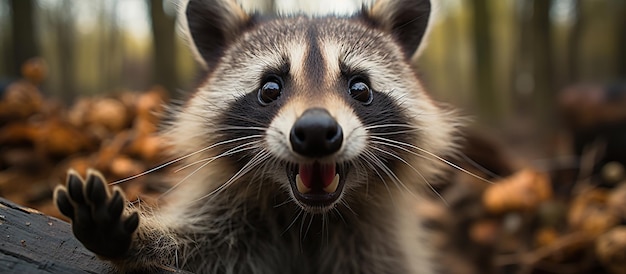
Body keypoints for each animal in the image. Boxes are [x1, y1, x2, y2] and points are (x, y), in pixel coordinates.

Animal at [53, 0, 458, 272]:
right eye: (270, 89)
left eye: (360, 88)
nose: (315, 131)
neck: (308, 218)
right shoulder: (230, 222)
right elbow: (193, 248)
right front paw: (138, 241)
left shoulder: (378, 242)